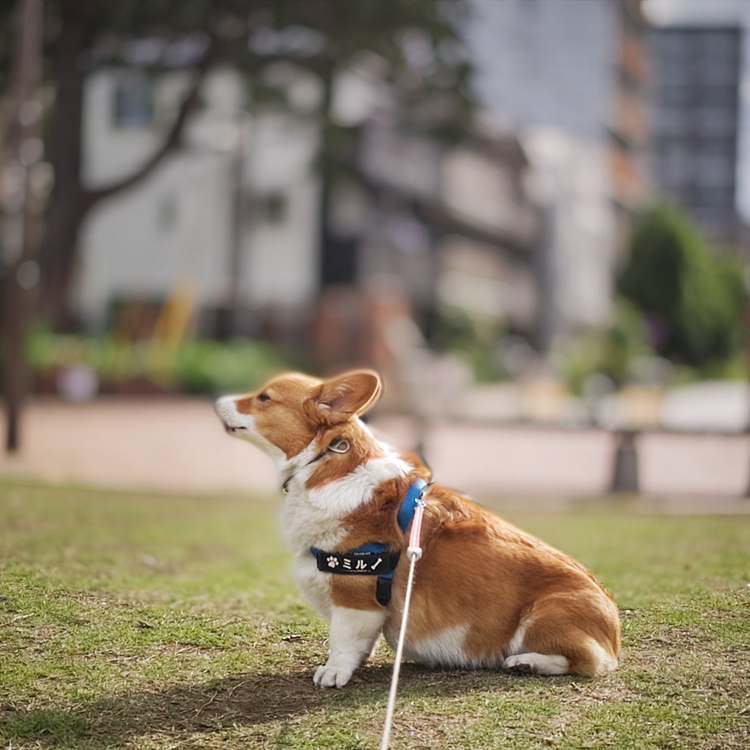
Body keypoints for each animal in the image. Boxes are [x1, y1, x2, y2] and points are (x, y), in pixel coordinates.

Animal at [217, 370, 624, 688]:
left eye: (264, 397)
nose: (217, 399)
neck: (323, 461)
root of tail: (615, 632)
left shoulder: (355, 596)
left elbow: (342, 641)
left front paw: (334, 673)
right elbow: (358, 644)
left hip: (542, 616)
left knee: (589, 662)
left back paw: (527, 662)